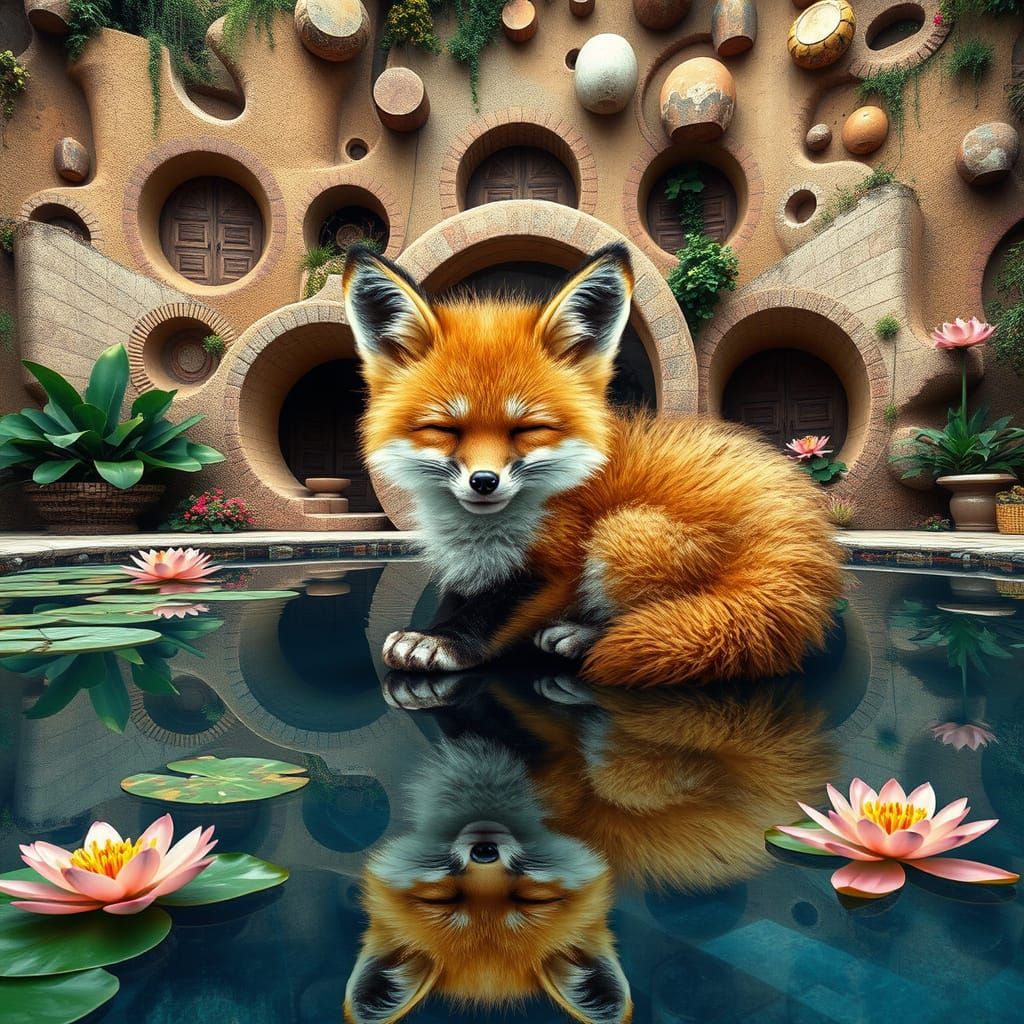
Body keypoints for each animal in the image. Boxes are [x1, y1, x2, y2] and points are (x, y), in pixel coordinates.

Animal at [341, 243, 844, 687]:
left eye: (528, 428)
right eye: (445, 429)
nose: (484, 482)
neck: (480, 536)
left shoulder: (559, 565)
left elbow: (492, 612)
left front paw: (442, 641)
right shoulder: (468, 571)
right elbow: (461, 599)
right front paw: (438, 627)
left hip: (623, 532)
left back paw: (585, 635)